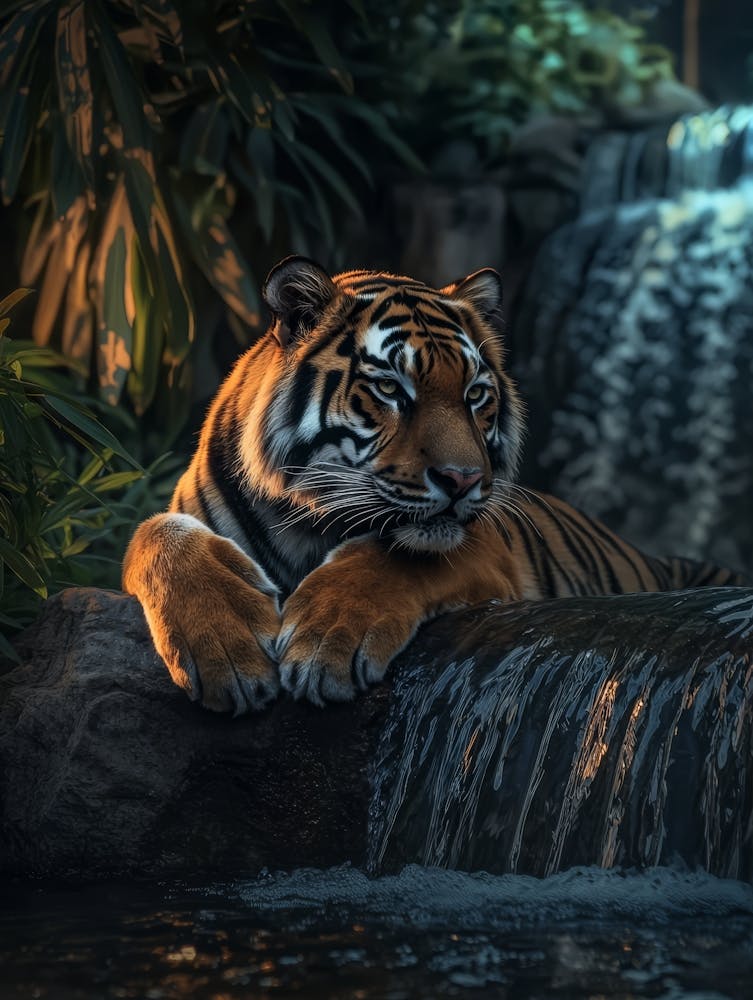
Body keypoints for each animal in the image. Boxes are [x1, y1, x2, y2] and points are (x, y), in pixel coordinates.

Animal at [123, 255, 747, 714]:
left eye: (475, 395)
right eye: (391, 389)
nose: (463, 479)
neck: (307, 524)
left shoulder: (488, 545)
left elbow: (392, 558)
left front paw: (326, 642)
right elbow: (155, 534)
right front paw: (227, 651)